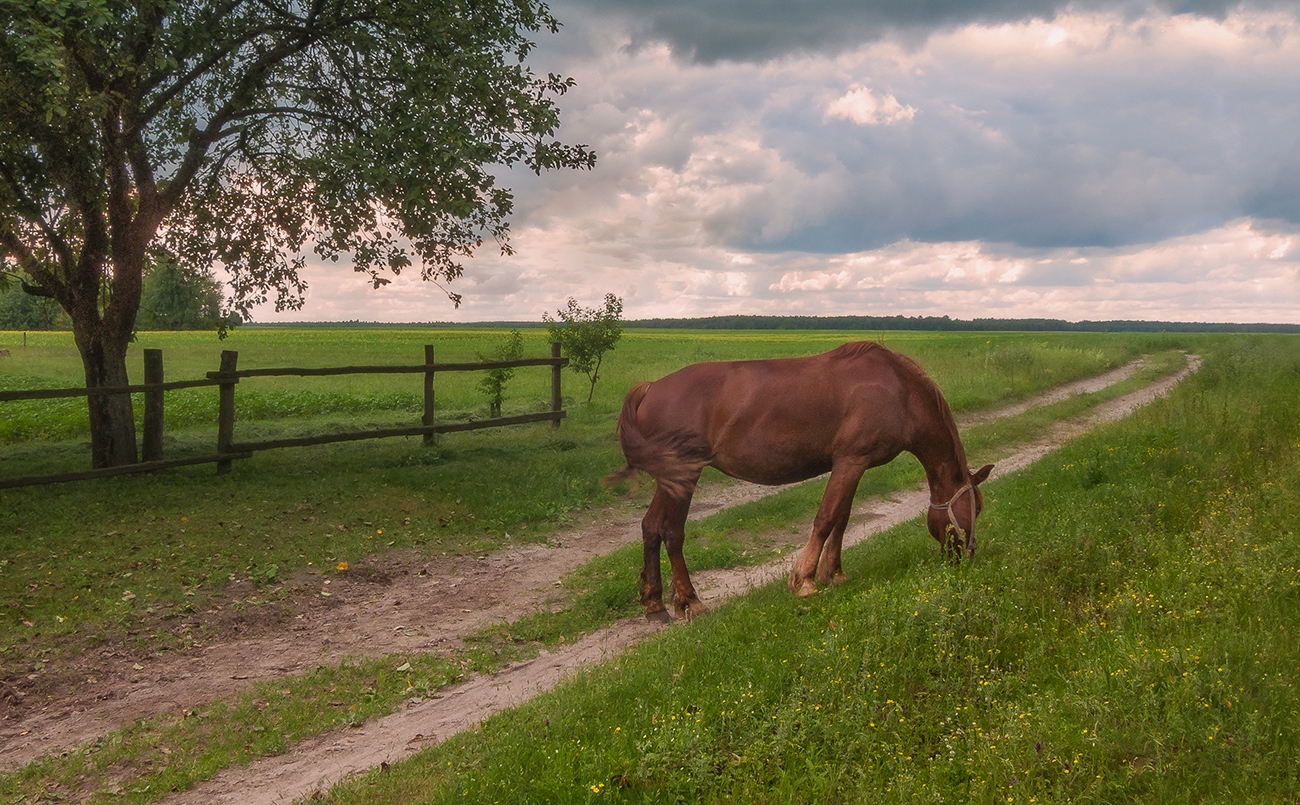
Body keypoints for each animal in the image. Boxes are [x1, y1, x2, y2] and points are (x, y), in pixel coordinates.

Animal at [608, 340, 993, 624]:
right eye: (976, 508)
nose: (967, 557)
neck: (899, 391)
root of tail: (650, 388)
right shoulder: (851, 461)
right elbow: (825, 518)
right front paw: (804, 580)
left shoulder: (854, 465)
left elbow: (842, 518)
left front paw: (833, 573)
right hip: (683, 475)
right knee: (671, 531)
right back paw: (690, 601)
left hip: (669, 480)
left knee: (651, 527)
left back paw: (655, 604)